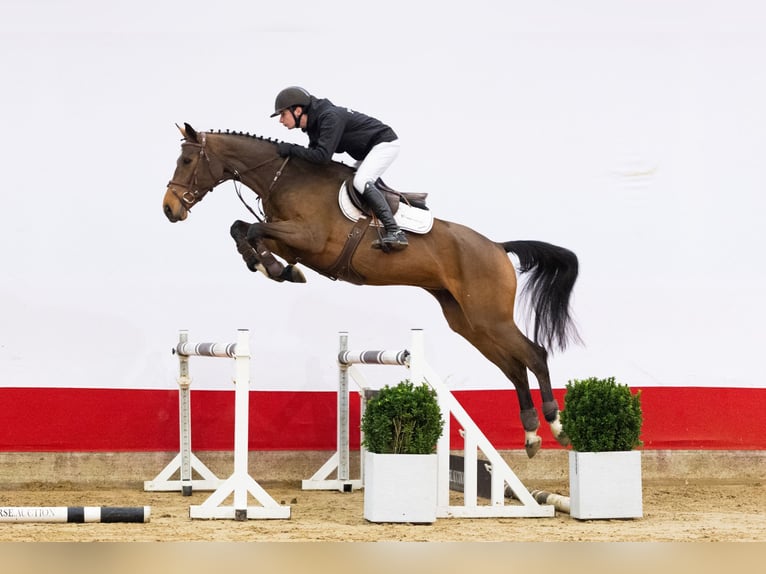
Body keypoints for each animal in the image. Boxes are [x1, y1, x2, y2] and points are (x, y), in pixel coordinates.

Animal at [162, 123, 581, 457]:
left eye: (187, 161)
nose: (169, 209)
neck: (284, 177)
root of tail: (497, 246)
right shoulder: (291, 239)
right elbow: (242, 229)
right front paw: (275, 269)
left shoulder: (309, 239)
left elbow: (249, 228)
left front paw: (276, 269)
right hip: (469, 322)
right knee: (514, 368)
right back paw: (531, 435)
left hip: (490, 317)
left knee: (535, 354)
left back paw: (556, 424)